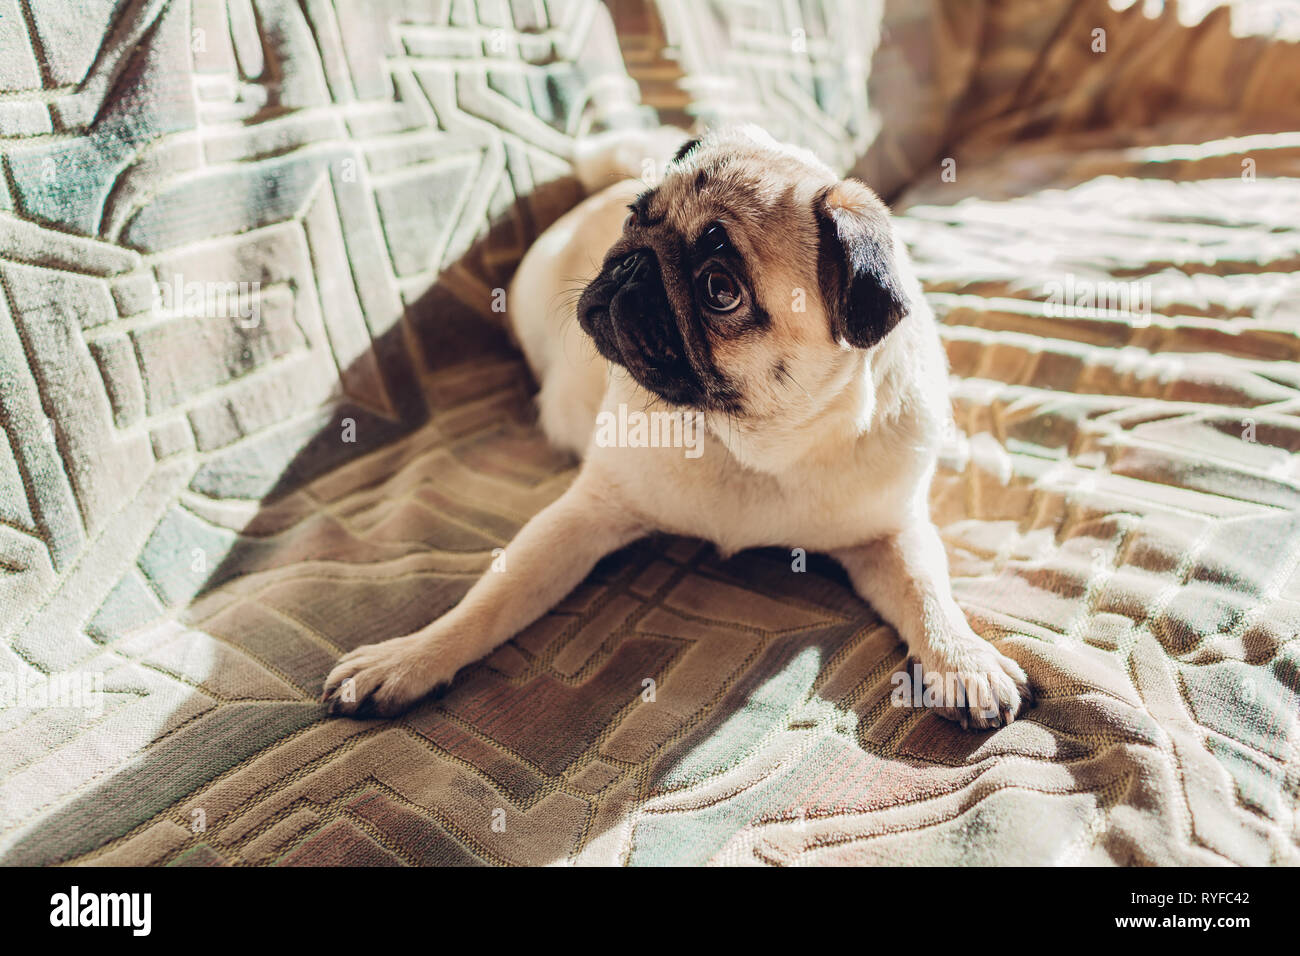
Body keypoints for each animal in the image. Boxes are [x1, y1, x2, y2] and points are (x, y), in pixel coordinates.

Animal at [325, 123, 1034, 728]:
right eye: (636, 216)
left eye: (720, 289)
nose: (632, 263)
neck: (742, 443)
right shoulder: (580, 516)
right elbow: (491, 599)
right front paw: (409, 658)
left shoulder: (890, 533)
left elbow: (927, 593)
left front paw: (962, 659)